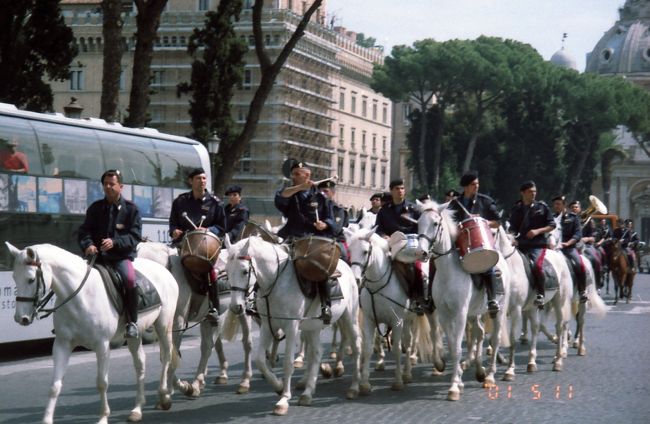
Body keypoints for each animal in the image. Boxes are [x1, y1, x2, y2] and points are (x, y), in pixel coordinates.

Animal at [6, 242, 177, 424]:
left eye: (31, 279)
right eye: (14, 277)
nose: (21, 318)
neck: (80, 296)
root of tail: (163, 269)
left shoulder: (102, 345)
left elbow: (101, 383)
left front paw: (103, 417)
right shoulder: (62, 344)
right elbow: (55, 385)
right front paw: (46, 419)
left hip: (164, 324)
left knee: (166, 356)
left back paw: (164, 396)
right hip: (134, 336)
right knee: (140, 364)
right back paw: (137, 409)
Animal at [221, 234, 360, 416]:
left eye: (245, 271)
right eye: (227, 271)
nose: (236, 307)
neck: (276, 282)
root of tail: (346, 266)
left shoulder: (291, 326)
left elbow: (288, 363)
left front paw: (284, 399)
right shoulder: (267, 325)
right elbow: (260, 360)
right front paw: (279, 386)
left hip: (350, 318)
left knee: (356, 347)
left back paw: (355, 387)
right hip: (312, 326)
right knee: (316, 352)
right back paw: (307, 393)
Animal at [412, 200, 508, 400]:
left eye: (435, 224)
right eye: (418, 223)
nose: (421, 252)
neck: (448, 273)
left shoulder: (460, 314)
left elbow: (456, 347)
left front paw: (455, 386)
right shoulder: (443, 314)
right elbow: (451, 346)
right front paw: (451, 373)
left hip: (498, 310)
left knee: (494, 340)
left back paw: (490, 376)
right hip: (475, 312)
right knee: (479, 333)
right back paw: (479, 371)